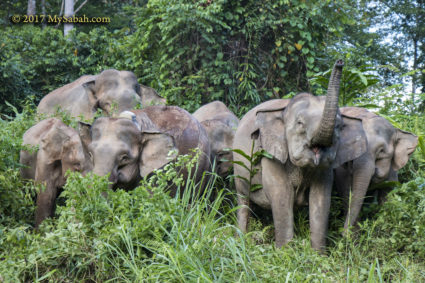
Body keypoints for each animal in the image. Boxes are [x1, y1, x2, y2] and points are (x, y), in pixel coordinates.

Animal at [230, 61, 366, 252]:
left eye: (339, 126)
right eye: (300, 123)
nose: (340, 62)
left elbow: (321, 197)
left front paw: (318, 255)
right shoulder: (270, 153)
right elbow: (281, 193)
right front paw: (284, 252)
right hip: (238, 168)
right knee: (243, 200)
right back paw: (241, 241)